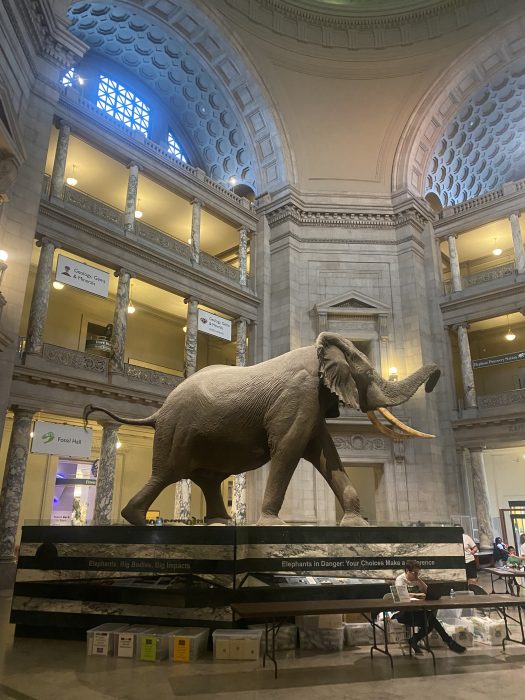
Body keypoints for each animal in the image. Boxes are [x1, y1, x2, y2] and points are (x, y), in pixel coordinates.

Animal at [85, 334, 438, 524]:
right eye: (367, 374)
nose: (435, 379)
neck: (318, 351)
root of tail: (158, 411)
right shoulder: (298, 396)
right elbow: (289, 448)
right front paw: (273, 524)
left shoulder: (311, 403)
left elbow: (326, 453)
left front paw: (355, 523)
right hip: (178, 432)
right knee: (167, 473)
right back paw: (137, 519)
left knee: (207, 479)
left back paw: (220, 523)